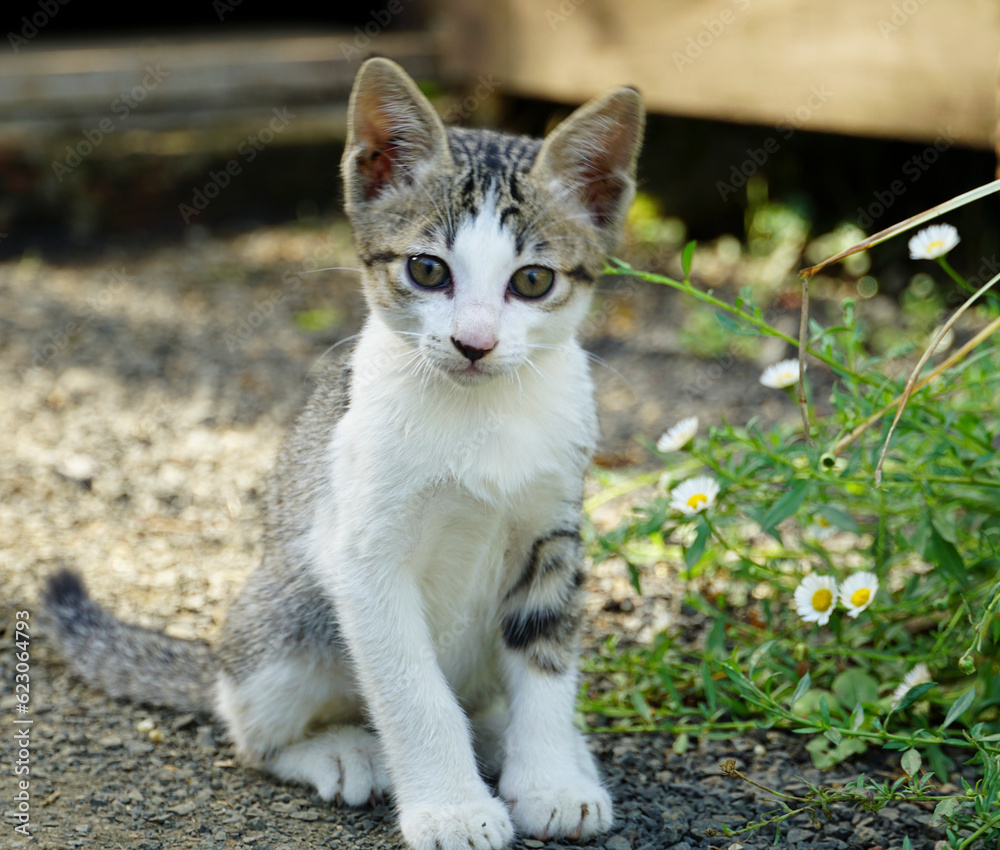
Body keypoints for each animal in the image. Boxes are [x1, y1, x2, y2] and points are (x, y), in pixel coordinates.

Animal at [43, 56, 644, 844]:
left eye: (533, 280)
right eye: (427, 270)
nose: (474, 344)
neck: (478, 413)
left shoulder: (554, 536)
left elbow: (545, 663)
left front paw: (549, 780)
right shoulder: (361, 555)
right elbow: (413, 692)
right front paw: (451, 806)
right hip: (287, 612)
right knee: (249, 727)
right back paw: (337, 751)